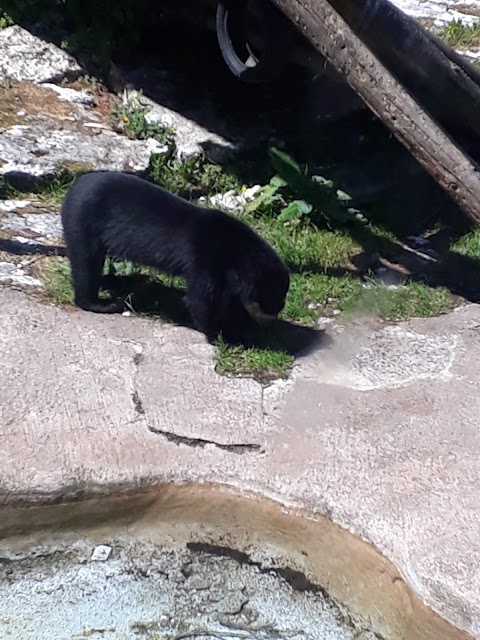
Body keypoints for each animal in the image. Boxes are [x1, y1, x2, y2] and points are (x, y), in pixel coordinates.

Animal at [62, 168, 290, 342]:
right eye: (274, 299)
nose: (276, 315)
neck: (238, 252)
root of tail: (72, 188)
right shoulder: (207, 259)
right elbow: (202, 299)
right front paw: (225, 335)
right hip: (83, 222)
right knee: (86, 263)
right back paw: (103, 303)